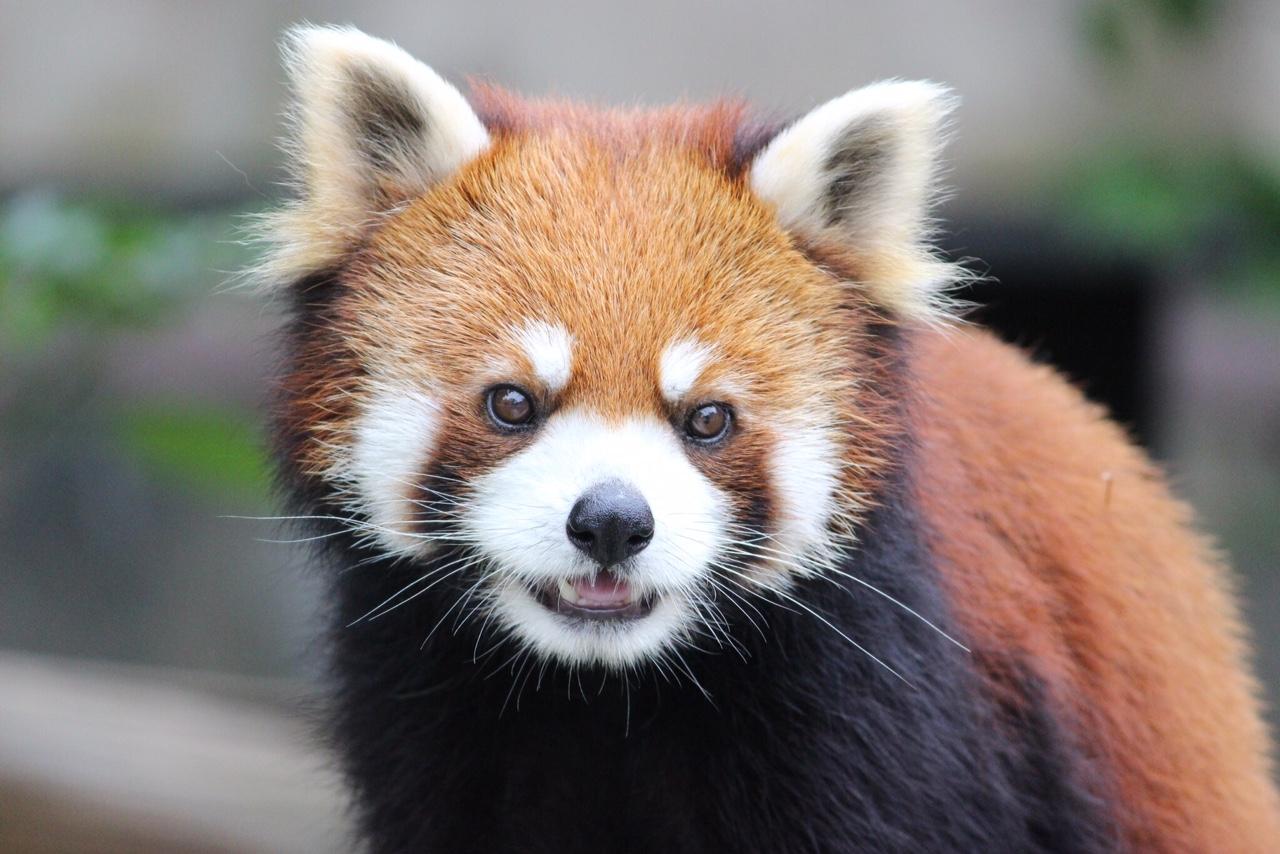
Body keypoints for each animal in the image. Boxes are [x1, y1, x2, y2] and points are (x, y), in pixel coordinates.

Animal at [262, 23, 1280, 850]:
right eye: (513, 403)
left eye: (708, 419)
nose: (612, 523)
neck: (607, 693)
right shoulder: (423, 702)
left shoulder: (900, 698)